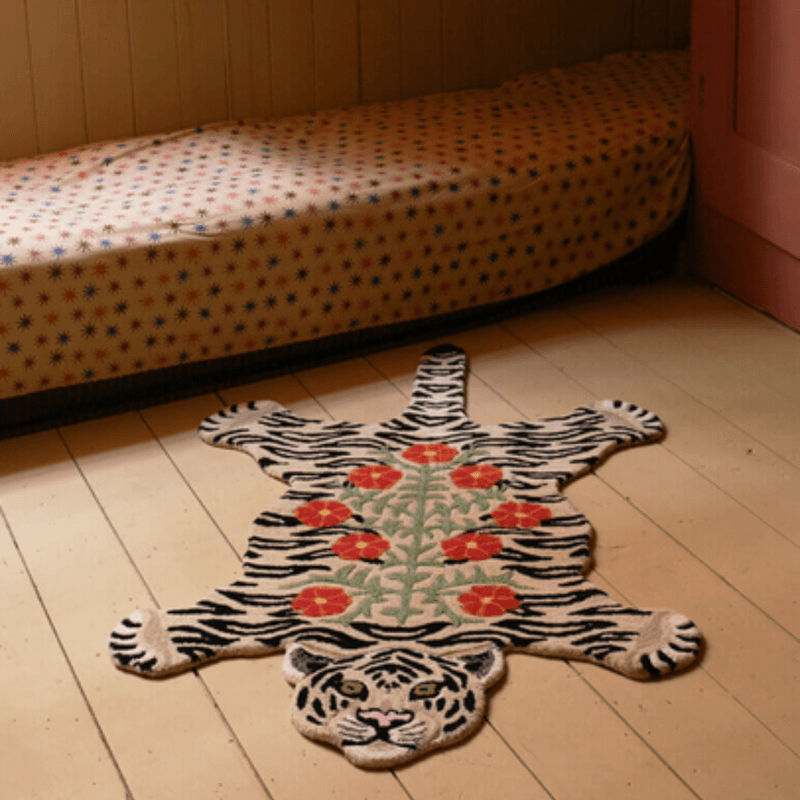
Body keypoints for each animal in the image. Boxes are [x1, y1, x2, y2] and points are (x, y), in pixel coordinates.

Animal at [109, 344, 701, 767]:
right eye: (351, 688)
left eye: (427, 690)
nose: (382, 723)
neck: (398, 625)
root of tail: (434, 427)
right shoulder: (259, 605)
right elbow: (201, 622)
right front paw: (146, 639)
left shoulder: (550, 610)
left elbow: (608, 625)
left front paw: (661, 637)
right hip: (316, 448)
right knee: (285, 428)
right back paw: (240, 417)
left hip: (541, 448)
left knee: (577, 428)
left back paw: (624, 414)